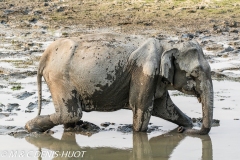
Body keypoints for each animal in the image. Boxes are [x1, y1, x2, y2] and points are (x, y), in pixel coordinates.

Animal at [25, 33, 214, 134]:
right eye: (194, 74)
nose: (183, 131)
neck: (167, 44)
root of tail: (45, 55)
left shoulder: (155, 78)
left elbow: (165, 108)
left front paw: (187, 125)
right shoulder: (145, 73)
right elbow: (142, 109)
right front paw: (138, 133)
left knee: (70, 116)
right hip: (59, 78)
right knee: (70, 114)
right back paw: (30, 127)